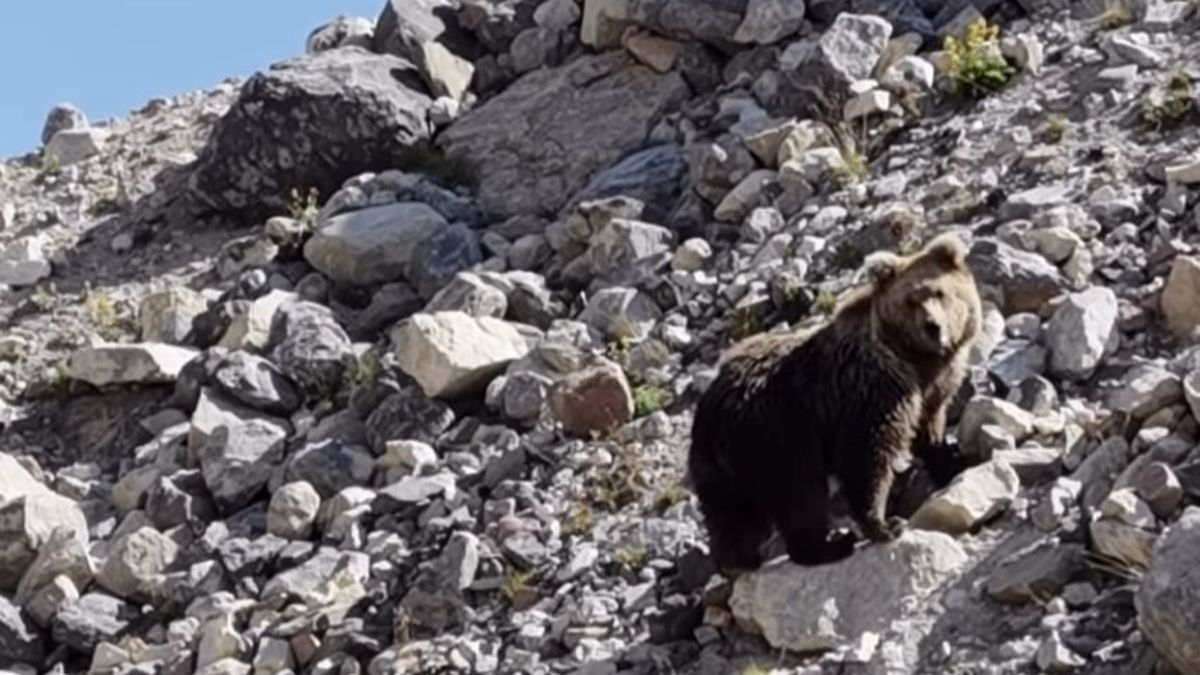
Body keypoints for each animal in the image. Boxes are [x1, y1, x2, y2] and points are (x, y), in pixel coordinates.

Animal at [687, 232, 983, 574]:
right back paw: (829, 546)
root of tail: (709, 412)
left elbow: (929, 429)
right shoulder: (872, 391)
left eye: (939, 292)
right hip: (778, 434)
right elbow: (867, 455)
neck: (914, 361)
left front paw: (955, 460)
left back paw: (738, 561)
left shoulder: (931, 390)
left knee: (733, 514)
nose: (932, 326)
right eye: (911, 300)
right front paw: (885, 524)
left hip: (723, 466)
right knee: (799, 491)